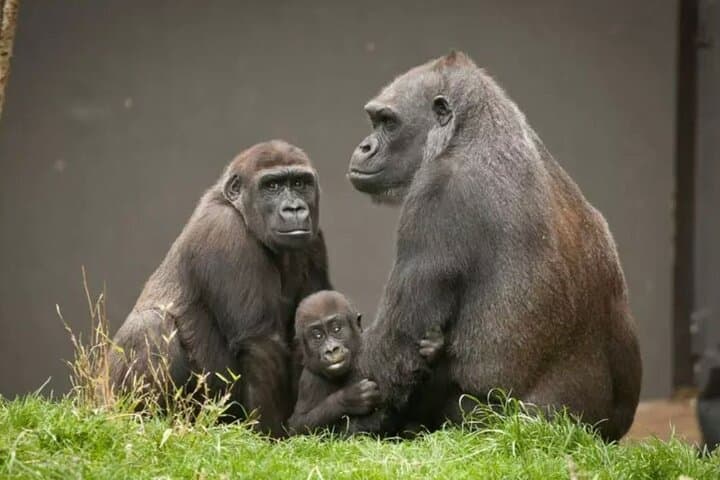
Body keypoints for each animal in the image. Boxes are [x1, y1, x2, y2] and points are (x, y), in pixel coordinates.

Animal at [109, 140, 331, 437]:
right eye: (272, 186)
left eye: (299, 183)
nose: (294, 208)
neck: (236, 207)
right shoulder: (225, 231)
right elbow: (260, 343)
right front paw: (270, 434)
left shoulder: (314, 239)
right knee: (149, 326)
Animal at [286, 290, 444, 435]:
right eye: (317, 336)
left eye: (336, 329)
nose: (331, 349)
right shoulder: (309, 380)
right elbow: (298, 425)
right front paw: (349, 399)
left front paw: (433, 349)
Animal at [344, 51, 642, 441]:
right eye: (374, 120)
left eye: (388, 123)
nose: (364, 147)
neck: (470, 130)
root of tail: (591, 433)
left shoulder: (437, 195)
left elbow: (394, 351)